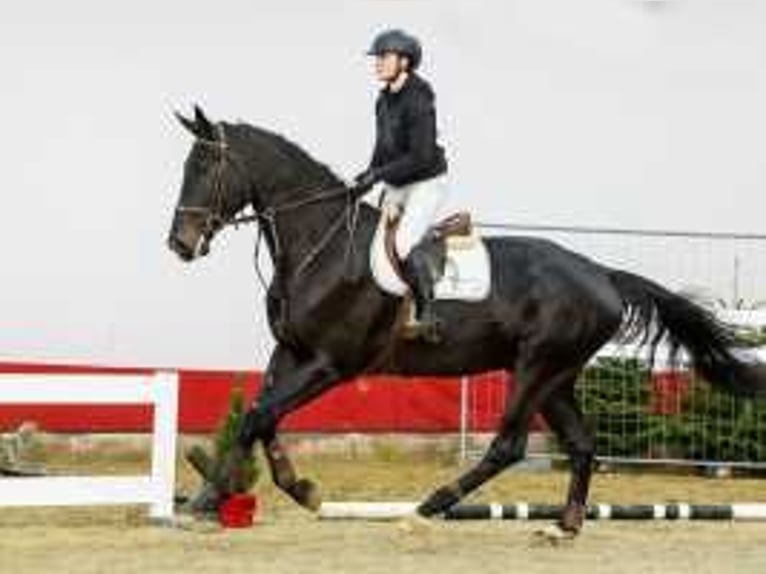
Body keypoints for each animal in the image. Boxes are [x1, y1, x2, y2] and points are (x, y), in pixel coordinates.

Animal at [168, 106, 766, 536]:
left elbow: (256, 416)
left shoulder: (329, 364)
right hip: (556, 377)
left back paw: (431, 506)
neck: (322, 245)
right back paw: (564, 526)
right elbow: (262, 416)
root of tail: (601, 274)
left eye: (206, 168)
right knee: (581, 443)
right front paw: (295, 488)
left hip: (536, 367)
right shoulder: (291, 352)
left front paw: (206, 500)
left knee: (509, 446)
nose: (179, 244)